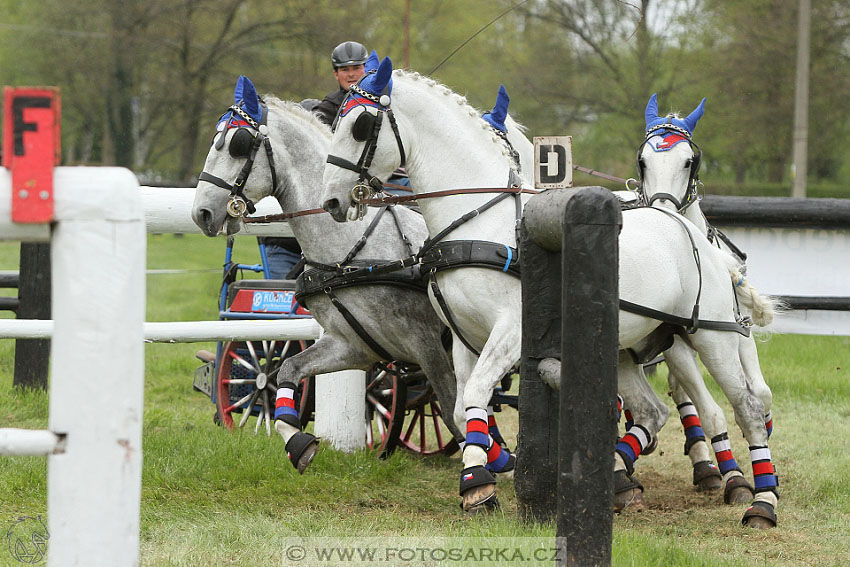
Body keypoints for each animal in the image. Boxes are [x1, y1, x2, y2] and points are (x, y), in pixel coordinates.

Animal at [190, 74, 464, 474]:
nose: (202, 213)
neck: (355, 252)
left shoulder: (426, 343)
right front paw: (299, 444)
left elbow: (453, 407)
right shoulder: (355, 345)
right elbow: (286, 370)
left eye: (237, 145)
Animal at [322, 57, 780, 528]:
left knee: (747, 408)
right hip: (625, 348)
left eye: (360, 125)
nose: (333, 201)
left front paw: (480, 485)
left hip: (712, 336)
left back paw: (760, 500)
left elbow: (476, 395)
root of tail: (687, 228)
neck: (482, 223)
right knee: (653, 411)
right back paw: (618, 480)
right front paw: (480, 478)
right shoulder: (465, 339)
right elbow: (463, 407)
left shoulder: (512, 333)